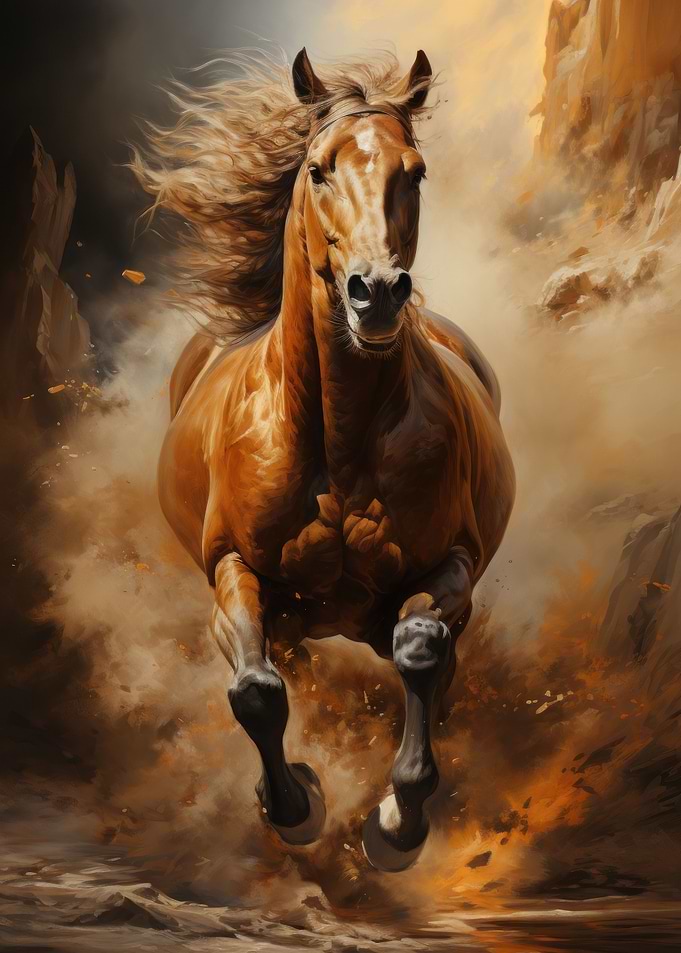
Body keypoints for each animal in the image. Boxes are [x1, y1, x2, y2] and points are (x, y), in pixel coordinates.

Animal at [135, 48, 515, 872]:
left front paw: (395, 824)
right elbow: (255, 690)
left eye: (416, 171)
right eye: (317, 169)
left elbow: (420, 648)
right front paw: (296, 805)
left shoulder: (452, 562)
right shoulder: (231, 567)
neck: (336, 443)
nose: (375, 293)